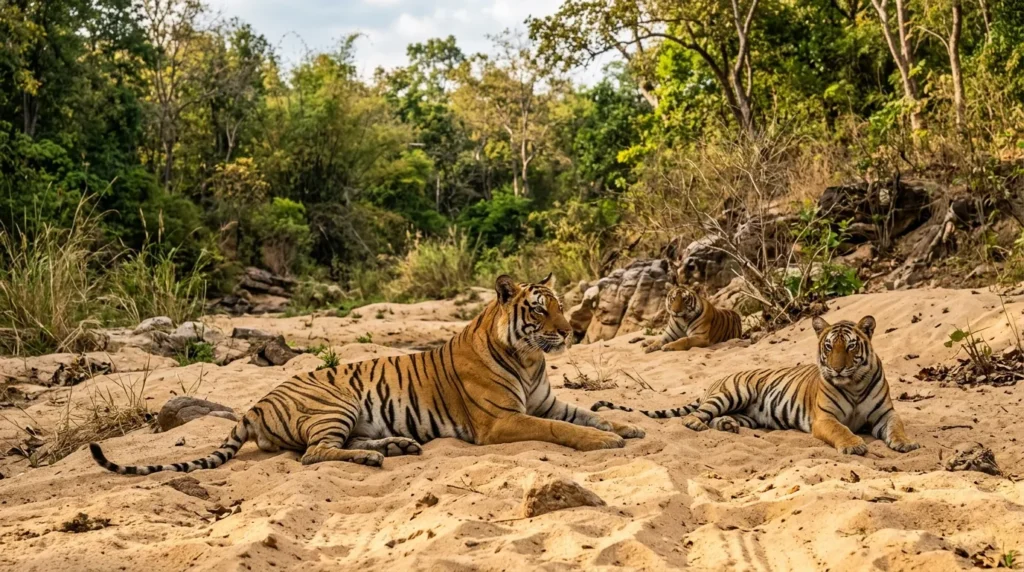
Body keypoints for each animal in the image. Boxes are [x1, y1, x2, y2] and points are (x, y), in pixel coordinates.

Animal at [89, 274, 645, 476]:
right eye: (539, 310)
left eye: (562, 305)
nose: (569, 332)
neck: (529, 360)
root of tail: (254, 405)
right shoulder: (504, 420)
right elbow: (561, 429)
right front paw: (605, 443)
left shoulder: (545, 400)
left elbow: (588, 413)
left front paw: (628, 427)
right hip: (335, 404)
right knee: (313, 455)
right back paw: (376, 457)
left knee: (329, 446)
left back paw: (395, 446)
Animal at [594, 315, 919, 455]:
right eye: (829, 347)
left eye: (850, 346)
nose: (837, 368)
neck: (852, 384)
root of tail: (716, 381)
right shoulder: (825, 418)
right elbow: (841, 429)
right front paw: (854, 445)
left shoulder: (885, 414)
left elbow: (898, 425)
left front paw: (904, 442)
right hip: (733, 393)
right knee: (697, 415)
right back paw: (696, 423)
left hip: (749, 412)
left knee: (723, 419)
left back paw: (727, 425)